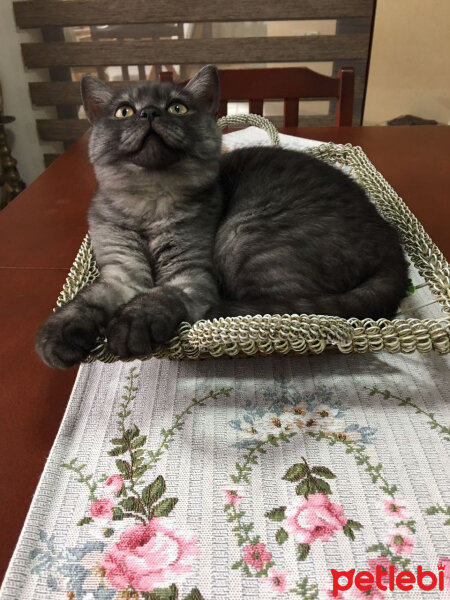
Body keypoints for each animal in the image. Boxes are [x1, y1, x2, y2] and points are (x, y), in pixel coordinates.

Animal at [35, 64, 408, 366]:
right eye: (124, 111)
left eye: (178, 107)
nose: (151, 113)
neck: (150, 206)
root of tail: (391, 244)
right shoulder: (122, 274)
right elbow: (88, 299)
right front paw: (58, 335)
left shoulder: (191, 274)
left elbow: (158, 297)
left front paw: (130, 325)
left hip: (242, 235)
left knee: (285, 309)